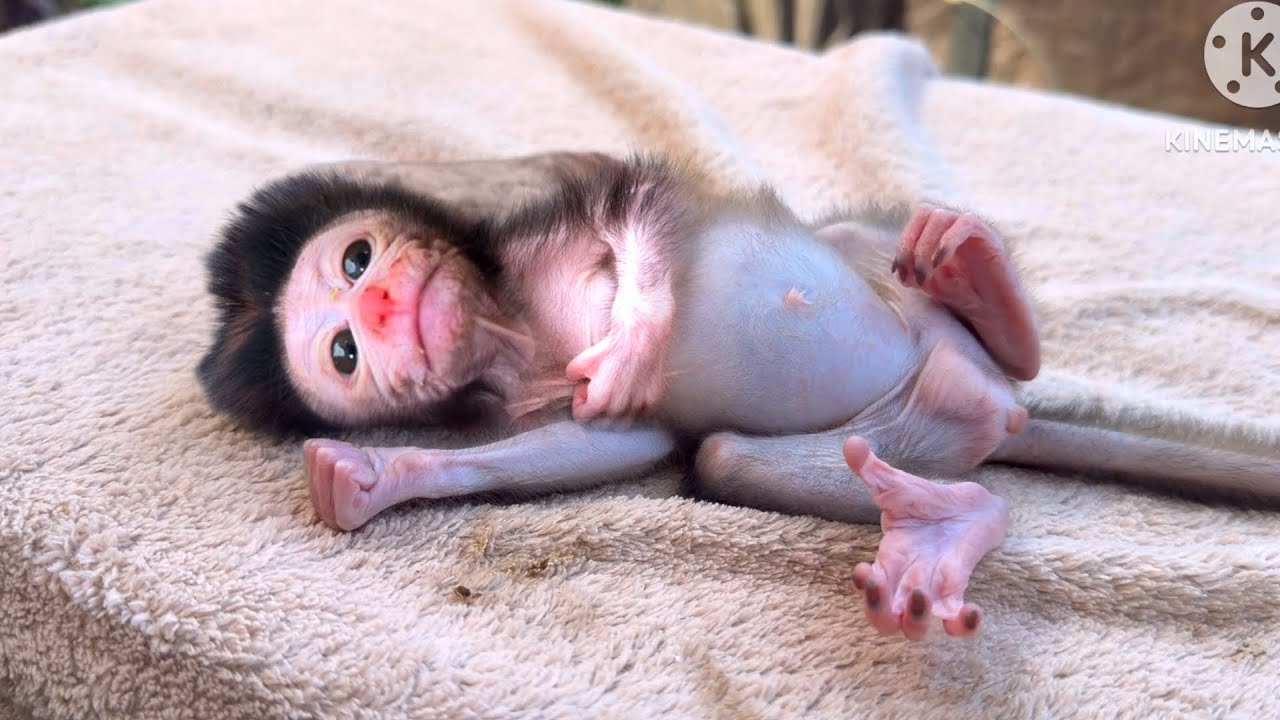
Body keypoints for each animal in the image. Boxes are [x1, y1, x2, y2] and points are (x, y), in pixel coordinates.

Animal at [199, 151, 1280, 642]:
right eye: (341, 351)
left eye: (357, 257)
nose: (384, 303)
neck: (504, 323)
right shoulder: (513, 399)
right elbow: (615, 445)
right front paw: (378, 474)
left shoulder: (526, 216)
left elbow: (650, 206)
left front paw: (640, 323)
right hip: (904, 423)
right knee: (729, 457)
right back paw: (947, 518)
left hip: (912, 314)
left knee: (865, 252)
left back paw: (980, 282)